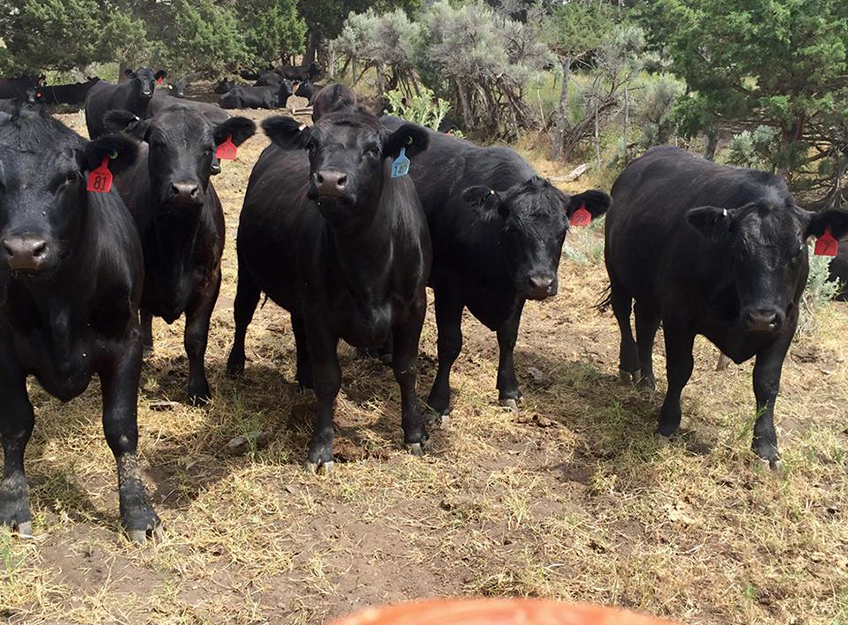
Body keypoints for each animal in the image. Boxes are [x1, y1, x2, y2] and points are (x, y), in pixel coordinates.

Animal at [0, 105, 161, 540]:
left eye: (70, 177)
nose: (24, 250)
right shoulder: (3, 351)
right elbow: (16, 424)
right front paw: (14, 503)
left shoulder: (127, 342)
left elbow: (121, 427)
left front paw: (137, 510)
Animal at [105, 104, 255, 402]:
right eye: (158, 144)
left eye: (209, 148)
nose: (184, 190)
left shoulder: (210, 280)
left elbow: (195, 338)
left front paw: (198, 391)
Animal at [225, 107, 430, 470]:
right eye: (312, 145)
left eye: (374, 149)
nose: (331, 180)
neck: (367, 258)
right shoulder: (319, 310)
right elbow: (329, 379)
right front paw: (321, 447)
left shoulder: (414, 305)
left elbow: (406, 369)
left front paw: (415, 433)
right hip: (247, 269)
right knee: (242, 315)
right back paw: (236, 365)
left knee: (297, 329)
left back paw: (302, 375)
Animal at [604, 147, 848, 468]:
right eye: (738, 249)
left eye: (797, 251)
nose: (761, 316)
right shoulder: (679, 314)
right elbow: (680, 368)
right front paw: (668, 423)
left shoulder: (787, 321)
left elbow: (767, 382)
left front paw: (766, 445)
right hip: (616, 270)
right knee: (623, 315)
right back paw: (630, 366)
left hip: (649, 292)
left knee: (645, 326)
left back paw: (647, 381)